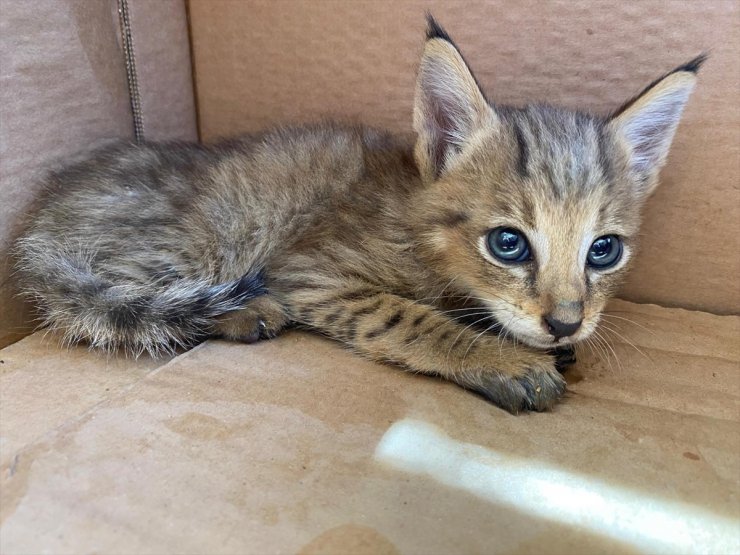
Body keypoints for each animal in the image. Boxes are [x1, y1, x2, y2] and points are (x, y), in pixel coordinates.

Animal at [14, 16, 704, 412]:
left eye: (604, 250)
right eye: (508, 244)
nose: (565, 323)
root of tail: (41, 219)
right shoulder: (309, 270)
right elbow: (408, 318)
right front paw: (502, 359)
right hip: (204, 235)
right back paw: (246, 311)